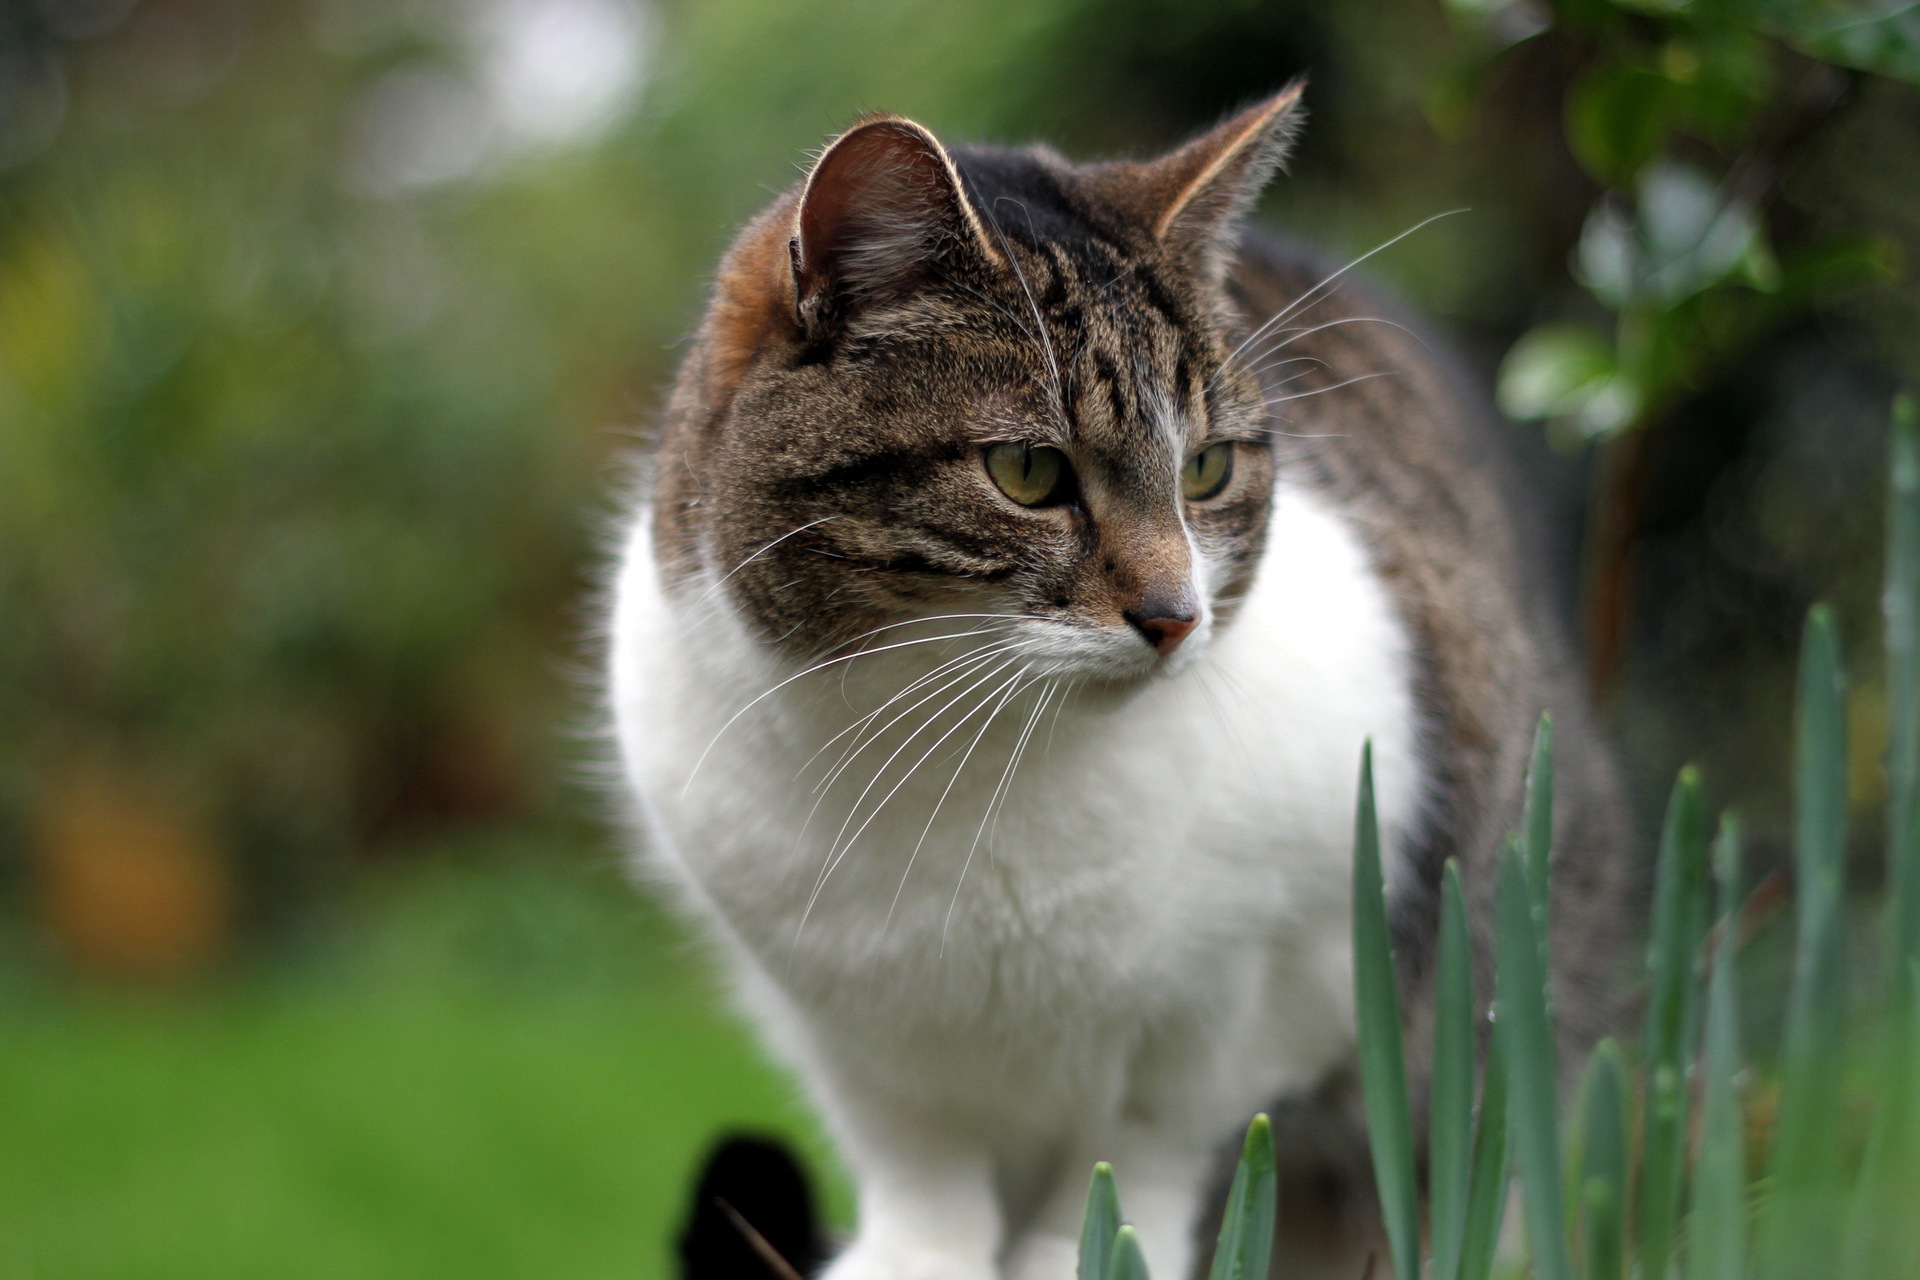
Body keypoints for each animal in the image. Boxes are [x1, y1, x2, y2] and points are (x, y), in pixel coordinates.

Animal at [606, 82, 1628, 1280]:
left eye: (1208, 469)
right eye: (1027, 472)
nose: (1176, 615)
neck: (957, 762)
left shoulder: (1268, 980)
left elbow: (1142, 1147)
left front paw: (1081, 1250)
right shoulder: (840, 1018)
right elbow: (915, 1151)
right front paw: (916, 1255)